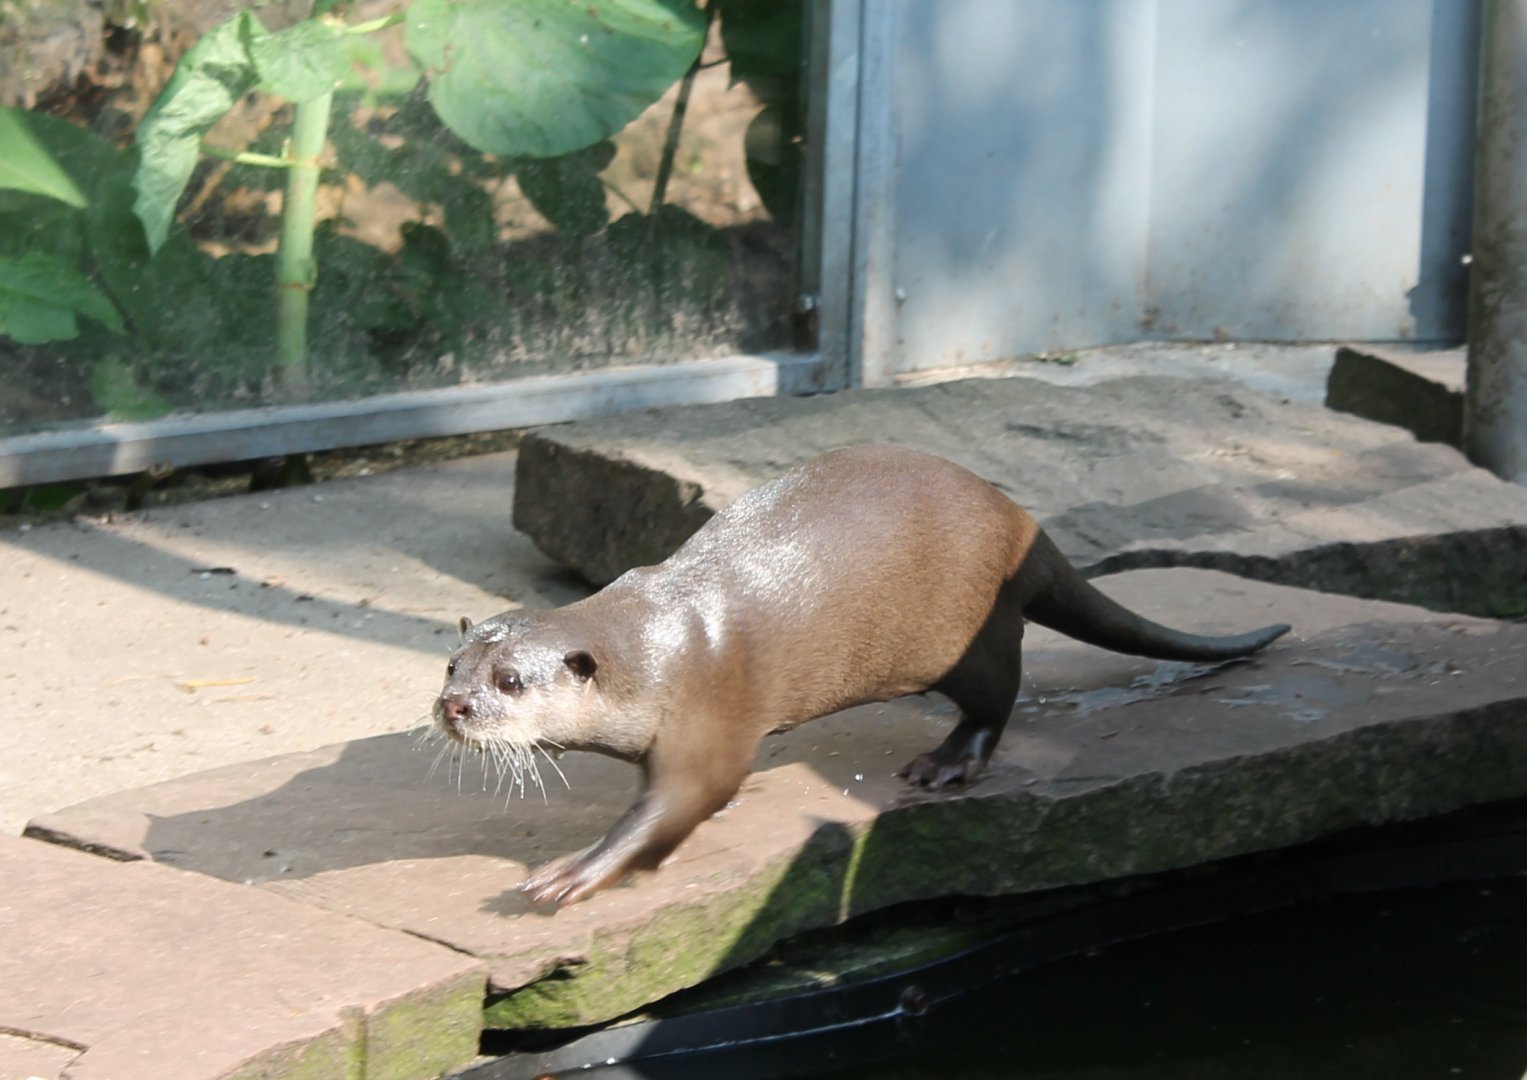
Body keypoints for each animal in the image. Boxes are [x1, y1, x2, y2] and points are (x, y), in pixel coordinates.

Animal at [435, 445, 1289, 905]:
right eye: (453, 664)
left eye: (510, 681)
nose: (453, 707)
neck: (655, 646)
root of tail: (1022, 524)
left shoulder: (708, 704)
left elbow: (683, 800)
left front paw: (574, 873)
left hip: (971, 637)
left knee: (997, 695)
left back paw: (945, 765)